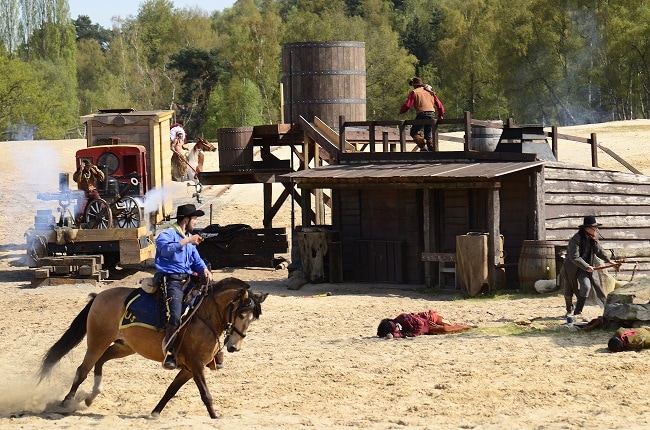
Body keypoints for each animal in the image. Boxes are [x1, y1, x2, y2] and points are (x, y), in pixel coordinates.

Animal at [38, 278, 266, 418]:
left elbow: (171, 390)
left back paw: (92, 396)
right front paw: (215, 417)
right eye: (241, 314)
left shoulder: (188, 368)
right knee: (82, 369)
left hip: (124, 347)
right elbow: (205, 394)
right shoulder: (196, 365)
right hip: (97, 341)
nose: (234, 346)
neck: (204, 316)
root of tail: (99, 297)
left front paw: (155, 412)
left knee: (100, 362)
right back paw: (67, 401)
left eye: (252, 318)